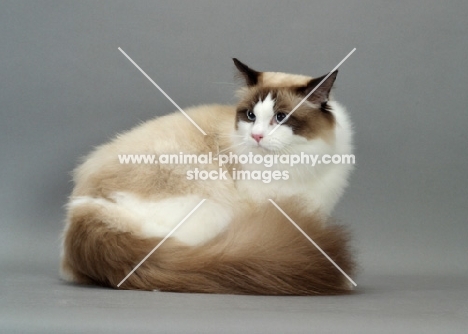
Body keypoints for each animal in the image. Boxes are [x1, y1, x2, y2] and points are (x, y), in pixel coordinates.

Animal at [60, 58, 356, 294]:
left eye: (281, 118)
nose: (257, 136)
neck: (298, 160)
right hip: (213, 209)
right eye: (251, 116)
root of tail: (85, 210)